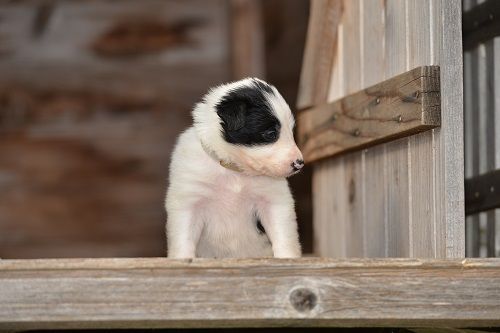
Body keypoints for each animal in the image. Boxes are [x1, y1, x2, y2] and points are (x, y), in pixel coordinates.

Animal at [166, 77, 302, 256]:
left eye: (291, 132)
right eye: (271, 133)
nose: (300, 163)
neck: (234, 170)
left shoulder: (274, 200)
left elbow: (284, 237)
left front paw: (287, 258)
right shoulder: (188, 201)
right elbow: (183, 240)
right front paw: (183, 260)